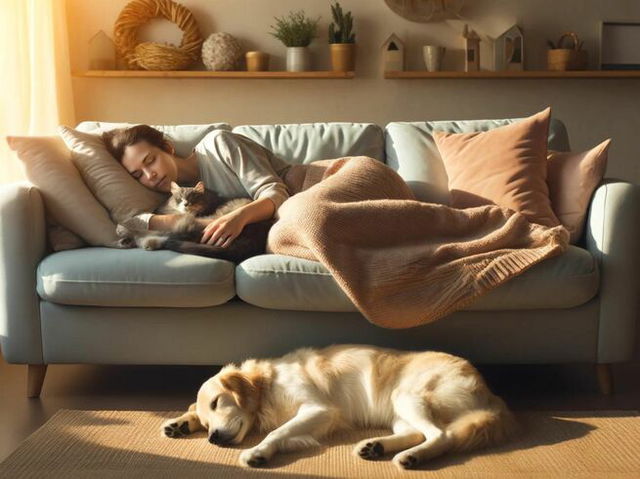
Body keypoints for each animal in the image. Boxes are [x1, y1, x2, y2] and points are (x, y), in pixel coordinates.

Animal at [162, 344, 516, 472]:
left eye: (217, 402)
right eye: (207, 421)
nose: (213, 438)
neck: (268, 385)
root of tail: (493, 396)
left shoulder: (319, 410)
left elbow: (277, 432)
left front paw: (258, 452)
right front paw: (181, 422)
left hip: (407, 395)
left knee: (441, 436)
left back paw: (410, 458)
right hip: (399, 411)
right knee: (419, 433)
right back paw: (374, 446)